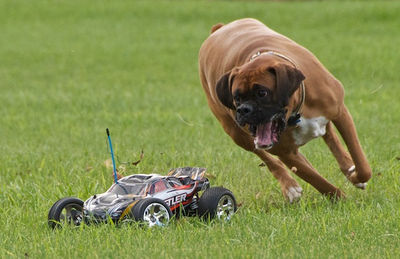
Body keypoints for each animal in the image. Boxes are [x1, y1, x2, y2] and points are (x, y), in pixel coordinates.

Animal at [199, 18, 372, 203]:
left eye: (262, 93)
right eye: (236, 98)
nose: (243, 109)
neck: (297, 113)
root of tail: (220, 28)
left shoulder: (341, 114)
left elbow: (362, 164)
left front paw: (355, 175)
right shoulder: (285, 153)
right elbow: (317, 180)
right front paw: (341, 199)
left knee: (330, 135)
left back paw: (348, 166)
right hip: (236, 133)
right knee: (267, 157)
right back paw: (289, 186)